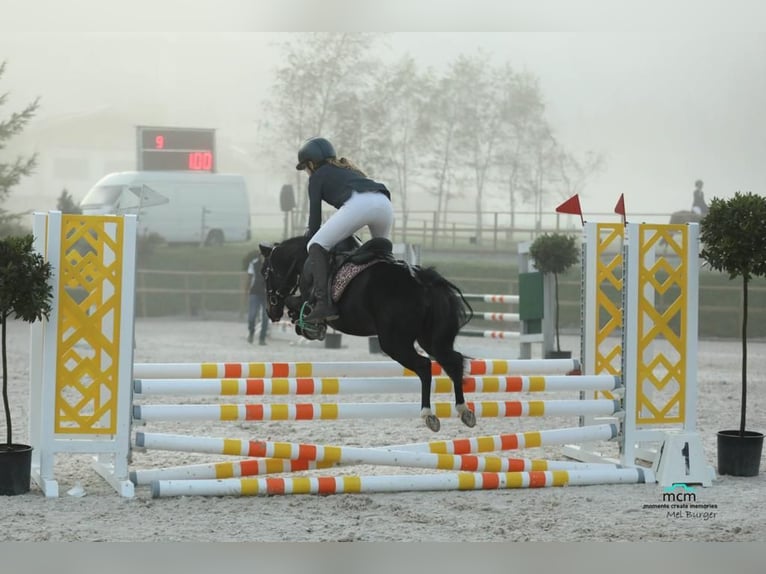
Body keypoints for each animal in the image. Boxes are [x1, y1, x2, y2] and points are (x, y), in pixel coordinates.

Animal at [260, 235, 476, 432]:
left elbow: (294, 303)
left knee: (424, 366)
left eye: (265, 272)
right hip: (430, 340)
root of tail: (424, 282)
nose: (271, 312)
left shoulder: (307, 297)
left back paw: (428, 414)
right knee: (454, 361)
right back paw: (464, 410)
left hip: (394, 343)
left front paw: (309, 326)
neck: (304, 259)